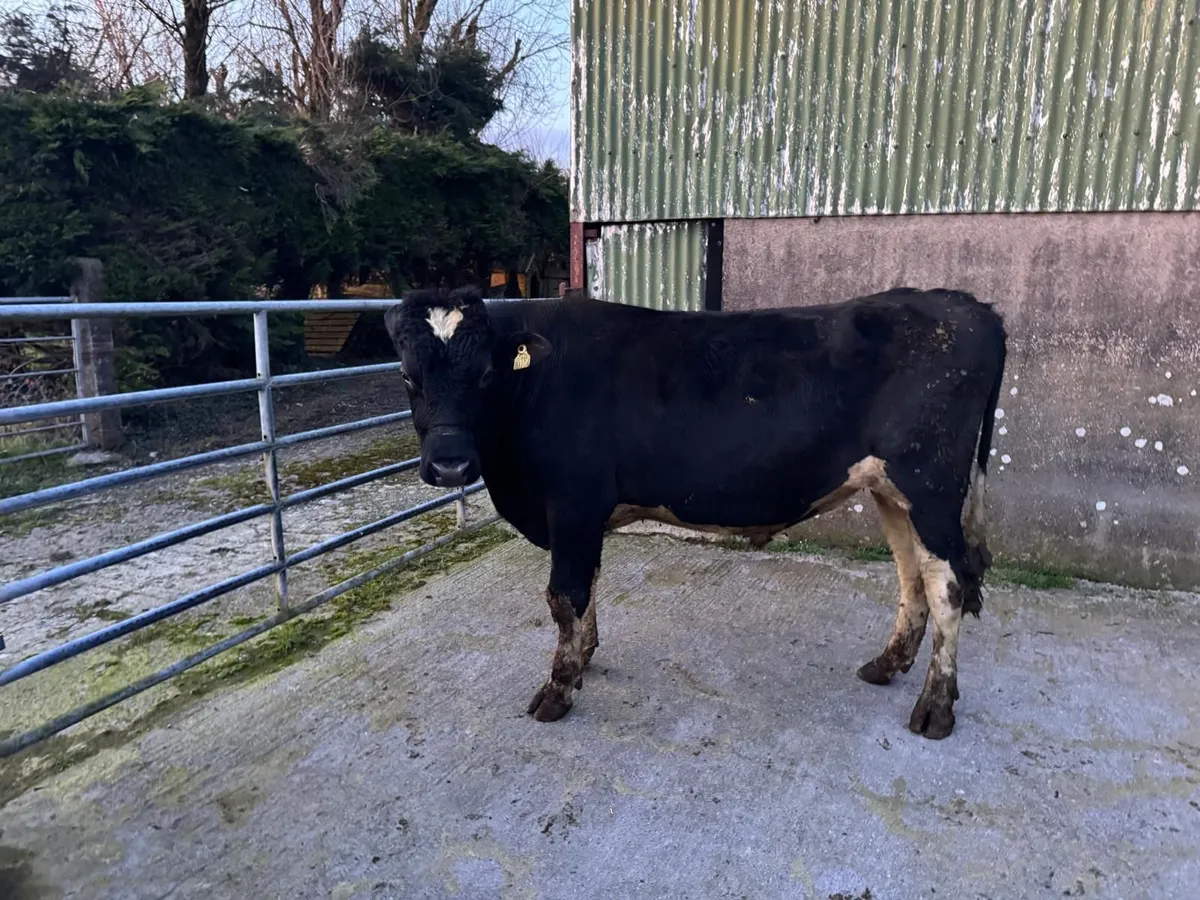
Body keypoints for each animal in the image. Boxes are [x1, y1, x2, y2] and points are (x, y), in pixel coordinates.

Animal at [384, 285, 1007, 740]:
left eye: (485, 375)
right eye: (407, 376)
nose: (449, 465)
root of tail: (965, 303)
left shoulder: (573, 503)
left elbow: (565, 596)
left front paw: (558, 689)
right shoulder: (583, 517)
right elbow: (587, 590)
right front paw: (585, 659)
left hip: (930, 487)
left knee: (948, 587)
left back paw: (935, 711)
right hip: (891, 491)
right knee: (912, 576)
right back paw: (886, 665)